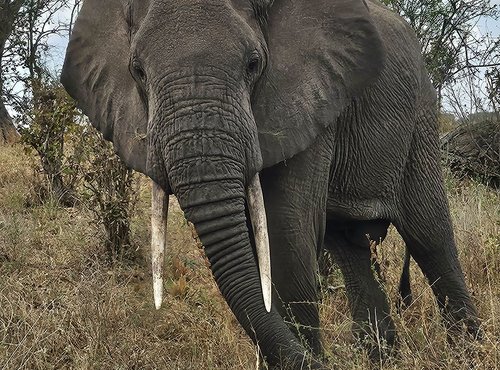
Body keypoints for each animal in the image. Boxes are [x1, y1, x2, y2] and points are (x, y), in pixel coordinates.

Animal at [60, 0, 482, 368]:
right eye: (138, 71)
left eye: (253, 64)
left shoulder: (308, 96)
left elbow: (285, 236)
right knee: (351, 247)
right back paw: (383, 359)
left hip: (420, 115)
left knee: (429, 234)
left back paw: (468, 352)